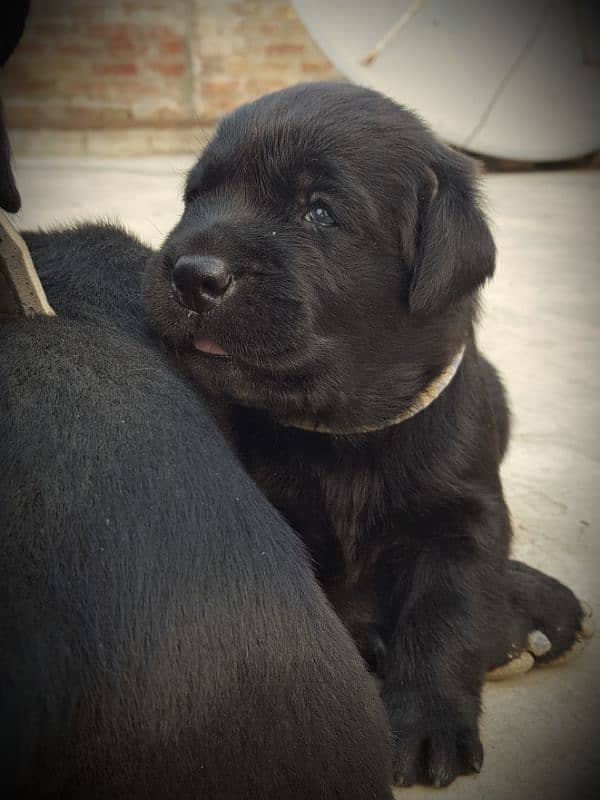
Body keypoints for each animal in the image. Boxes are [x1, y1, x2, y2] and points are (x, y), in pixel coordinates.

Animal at [144, 83, 584, 788]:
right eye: (195, 197)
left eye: (320, 211)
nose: (191, 273)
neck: (347, 432)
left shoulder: (465, 518)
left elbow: (446, 617)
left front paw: (430, 721)